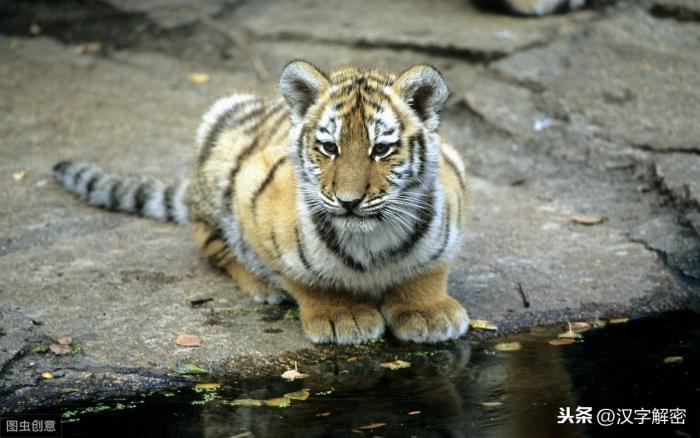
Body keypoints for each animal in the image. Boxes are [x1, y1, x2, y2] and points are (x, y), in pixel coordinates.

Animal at [52, 60, 470, 345]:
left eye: (381, 149)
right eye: (329, 147)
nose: (349, 202)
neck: (370, 238)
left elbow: (427, 270)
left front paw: (427, 312)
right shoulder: (252, 196)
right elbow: (304, 278)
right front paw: (343, 315)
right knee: (212, 245)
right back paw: (262, 286)